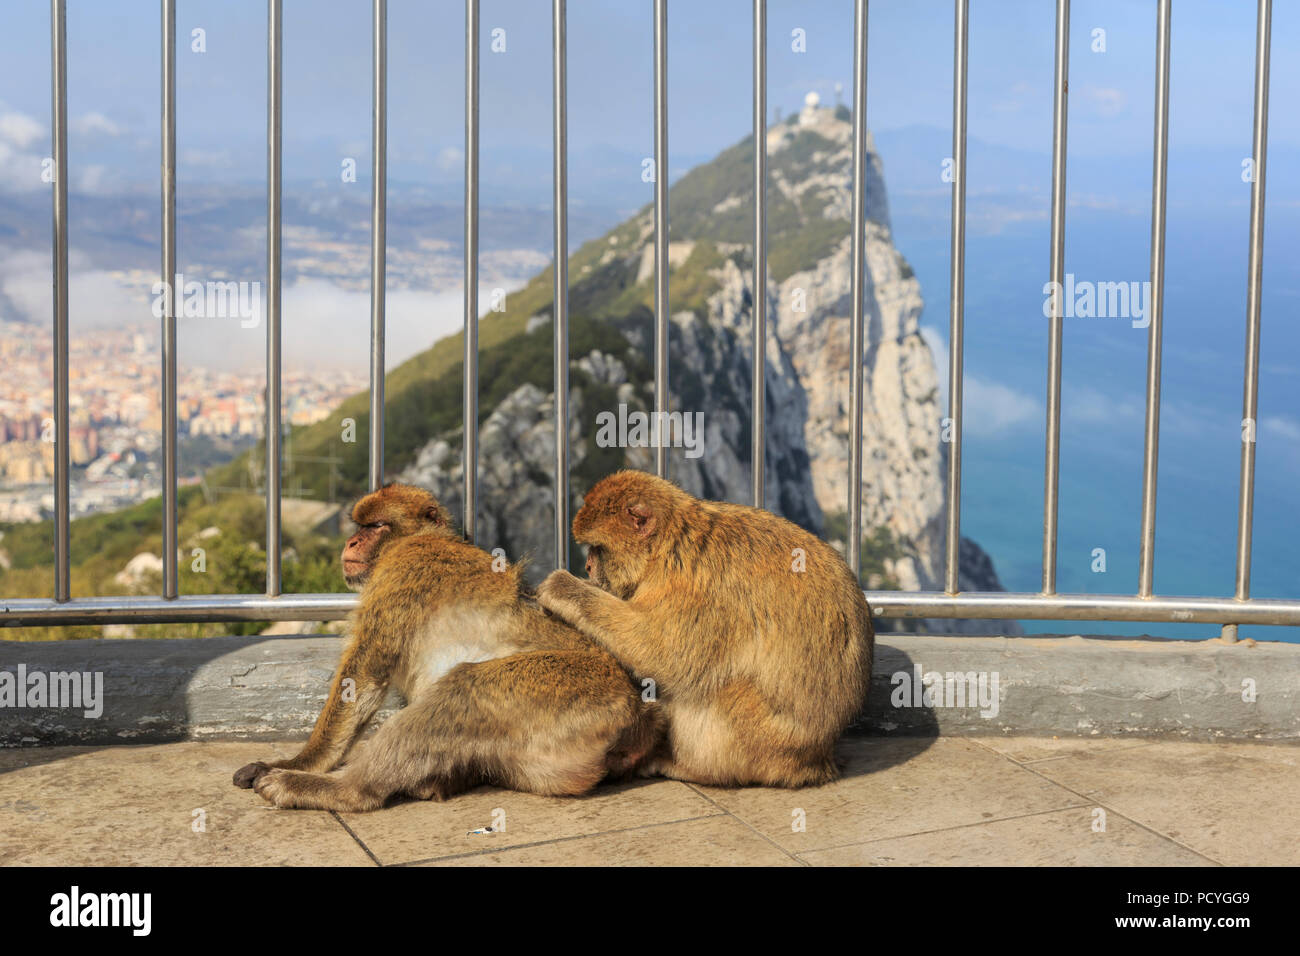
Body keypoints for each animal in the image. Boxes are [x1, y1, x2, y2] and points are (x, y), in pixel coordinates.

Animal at [231, 481, 660, 811]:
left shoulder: (400, 572)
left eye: (376, 525)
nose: (351, 541)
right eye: (359, 525)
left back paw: (341, 790)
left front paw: (300, 763)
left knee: (464, 686)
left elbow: (363, 676)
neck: (417, 539)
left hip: (574, 689)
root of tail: (637, 718)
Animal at [538, 468, 873, 790]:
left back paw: (690, 768)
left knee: (720, 690)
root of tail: (816, 761)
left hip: (765, 740)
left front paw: (564, 587)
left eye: (597, 548)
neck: (667, 546)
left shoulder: (693, 588)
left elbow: (664, 654)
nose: (587, 567)